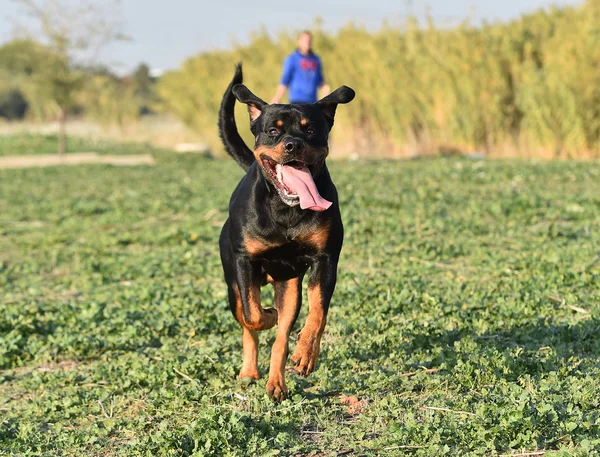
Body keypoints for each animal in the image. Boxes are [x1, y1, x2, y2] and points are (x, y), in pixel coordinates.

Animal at [218, 63, 354, 400]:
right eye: (273, 130)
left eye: (310, 129)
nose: (294, 145)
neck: (286, 208)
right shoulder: (244, 261)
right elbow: (253, 315)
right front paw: (266, 315)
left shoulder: (325, 259)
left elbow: (318, 312)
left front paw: (306, 353)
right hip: (232, 284)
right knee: (246, 323)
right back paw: (249, 371)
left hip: (289, 286)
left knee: (281, 337)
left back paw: (276, 382)